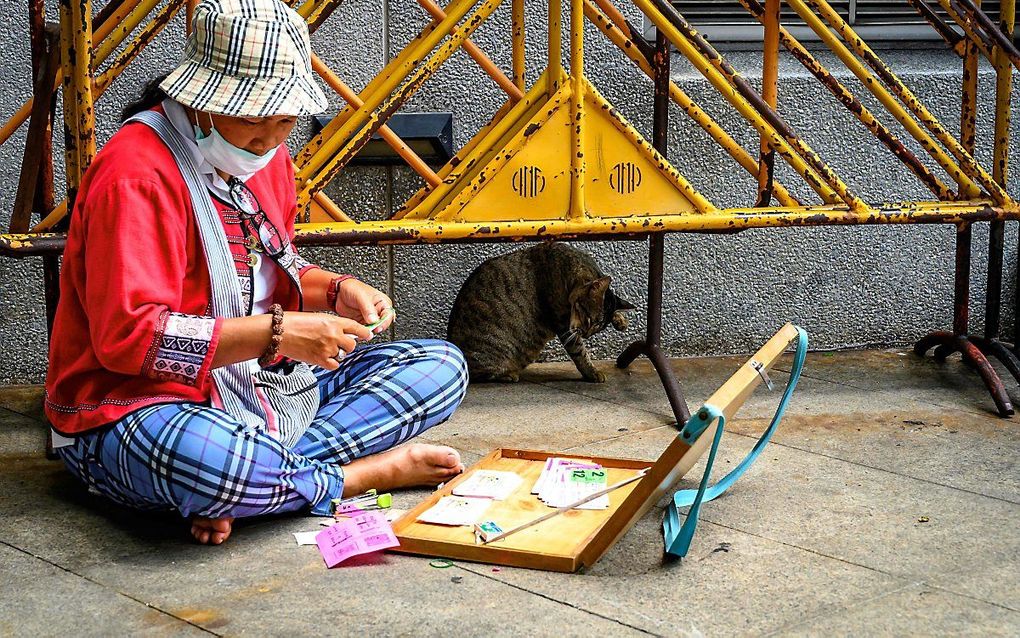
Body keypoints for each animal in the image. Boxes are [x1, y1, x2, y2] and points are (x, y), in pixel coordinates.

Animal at [448, 242, 632, 383]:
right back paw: (508, 375)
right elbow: (579, 351)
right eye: (588, 319)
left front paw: (620, 320)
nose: (586, 335)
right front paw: (592, 372)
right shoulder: (563, 323)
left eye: (596, 328)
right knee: (476, 376)